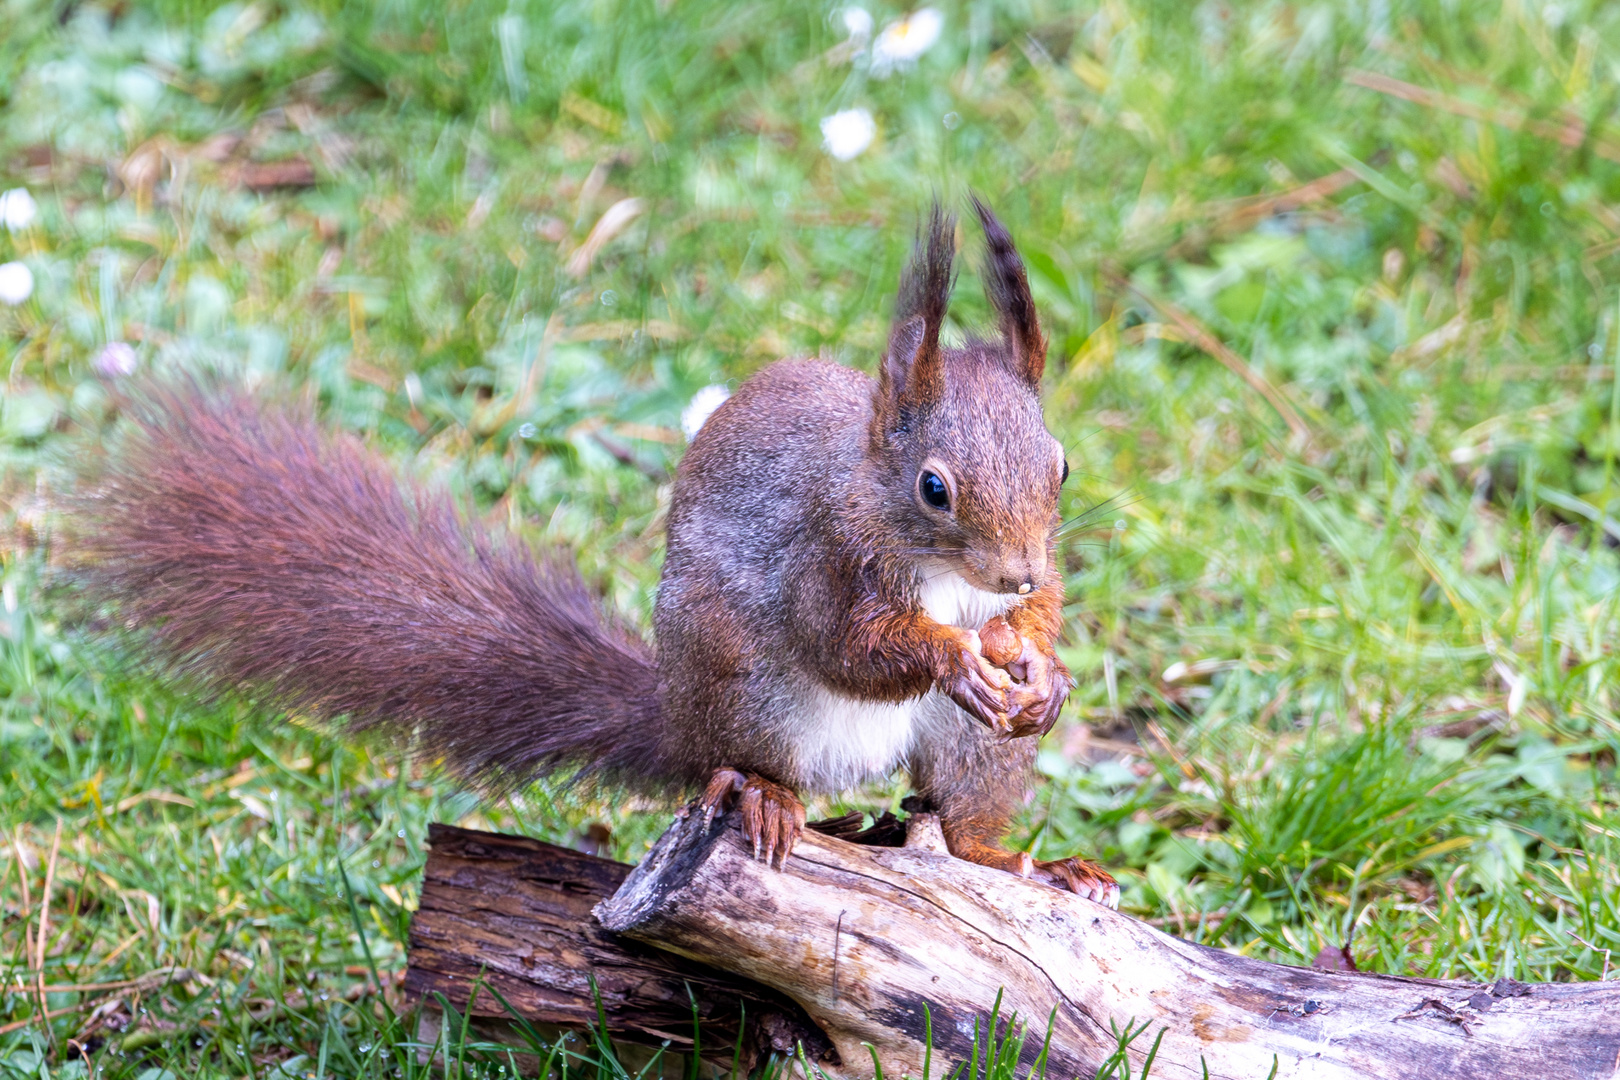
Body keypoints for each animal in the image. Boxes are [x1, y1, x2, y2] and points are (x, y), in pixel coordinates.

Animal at [69, 198, 1121, 906]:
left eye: (1062, 465)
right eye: (935, 488)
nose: (1017, 569)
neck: (943, 573)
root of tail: (677, 717)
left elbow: (1033, 623)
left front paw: (1044, 664)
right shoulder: (826, 557)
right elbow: (849, 645)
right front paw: (953, 655)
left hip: (970, 752)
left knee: (954, 820)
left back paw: (1032, 863)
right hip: (739, 683)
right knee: (735, 767)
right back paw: (764, 796)